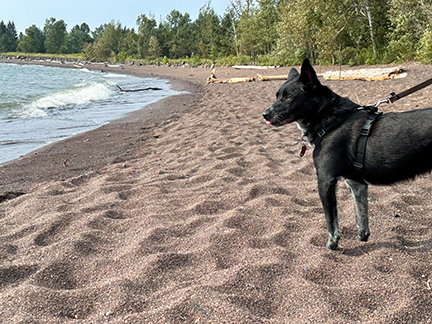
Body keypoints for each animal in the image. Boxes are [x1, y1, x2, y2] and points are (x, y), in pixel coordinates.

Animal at [262, 58, 432, 251]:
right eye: (277, 95)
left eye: (288, 97)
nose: (264, 114)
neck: (329, 118)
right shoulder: (356, 184)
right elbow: (361, 216)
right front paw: (362, 237)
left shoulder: (325, 181)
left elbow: (331, 220)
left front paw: (332, 245)